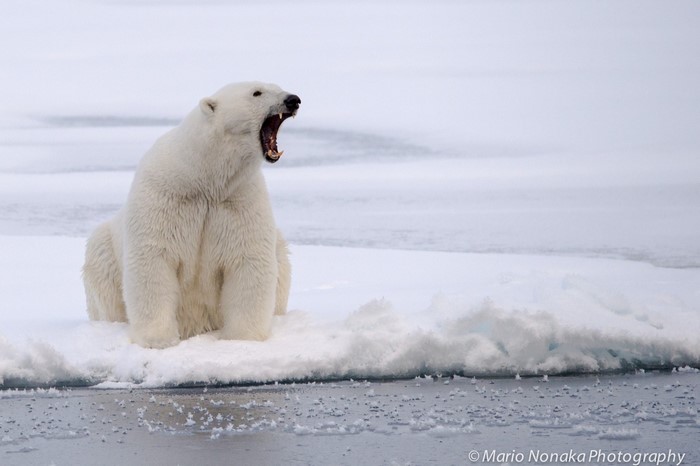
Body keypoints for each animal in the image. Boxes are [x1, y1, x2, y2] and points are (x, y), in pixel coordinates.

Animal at [83, 82, 299, 348]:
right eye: (257, 92)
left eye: (278, 86)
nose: (293, 100)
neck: (203, 177)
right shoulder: (166, 197)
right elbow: (153, 260)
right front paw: (158, 340)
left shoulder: (239, 200)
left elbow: (248, 260)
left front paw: (242, 339)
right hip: (104, 252)